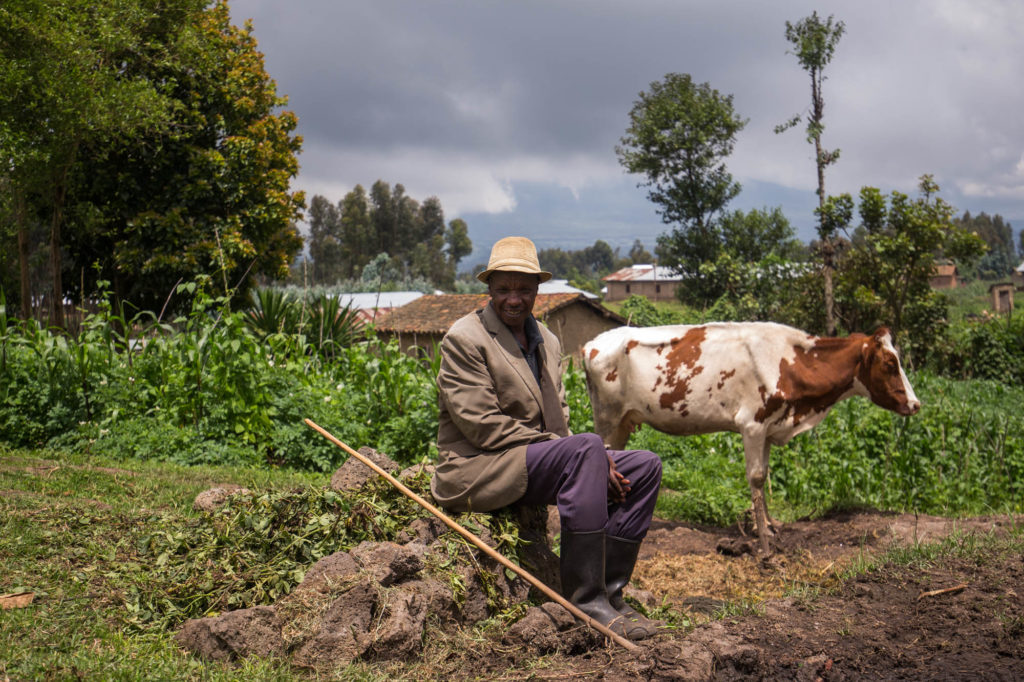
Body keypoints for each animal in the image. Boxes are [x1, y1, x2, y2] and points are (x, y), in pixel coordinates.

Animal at [581, 323, 925, 552]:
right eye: (890, 363)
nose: (915, 404)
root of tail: (592, 342)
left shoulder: (770, 430)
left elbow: (766, 474)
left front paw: (770, 527)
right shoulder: (752, 425)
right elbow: (757, 478)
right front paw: (763, 542)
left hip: (622, 423)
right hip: (607, 419)